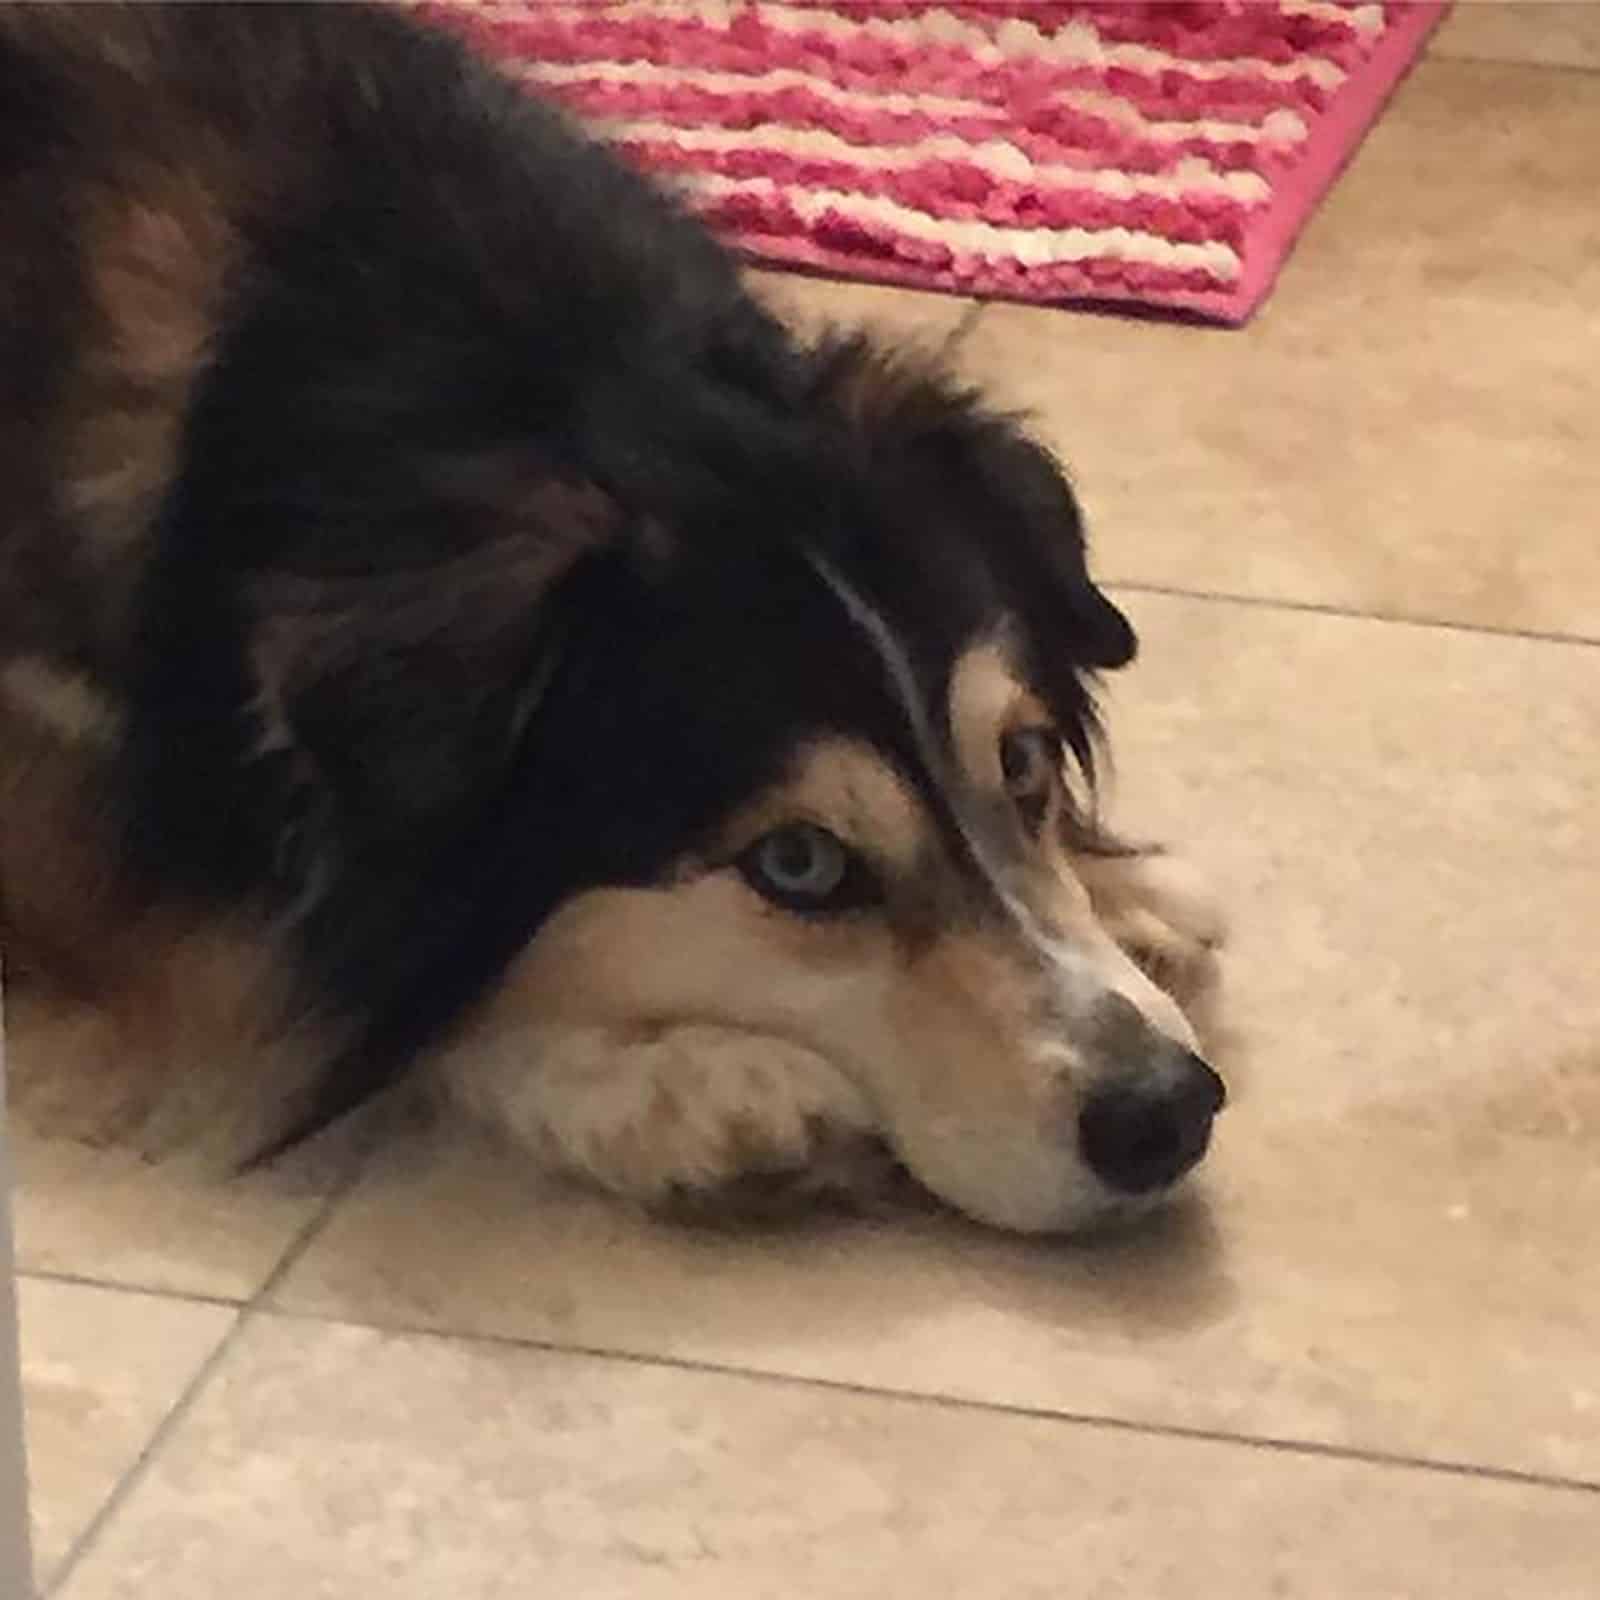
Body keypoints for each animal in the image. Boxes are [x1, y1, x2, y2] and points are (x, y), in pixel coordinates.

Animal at [0, 3, 1222, 1235]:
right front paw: (681, 1091)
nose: (1167, 1111)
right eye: (796, 864)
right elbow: (295, 982)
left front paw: (1131, 889)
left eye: (1022, 759)